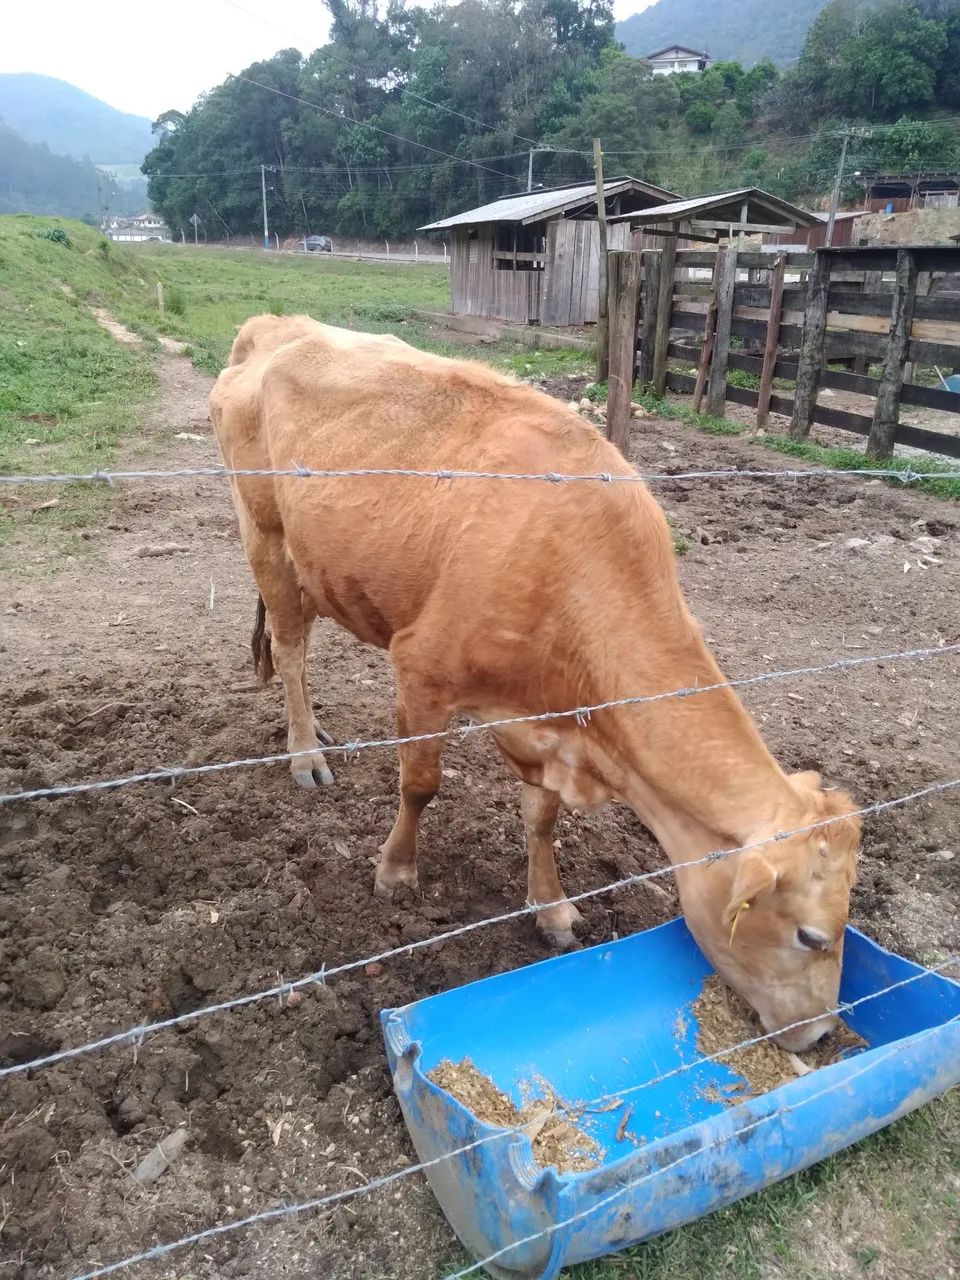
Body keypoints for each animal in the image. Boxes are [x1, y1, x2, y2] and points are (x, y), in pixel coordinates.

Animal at [209, 314, 861, 1052]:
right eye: (811, 935)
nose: (824, 1034)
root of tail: (280, 327)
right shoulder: (421, 669)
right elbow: (420, 784)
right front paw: (397, 872)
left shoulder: (542, 722)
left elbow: (542, 818)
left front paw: (551, 908)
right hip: (264, 535)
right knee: (290, 650)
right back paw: (304, 753)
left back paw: (316, 731)